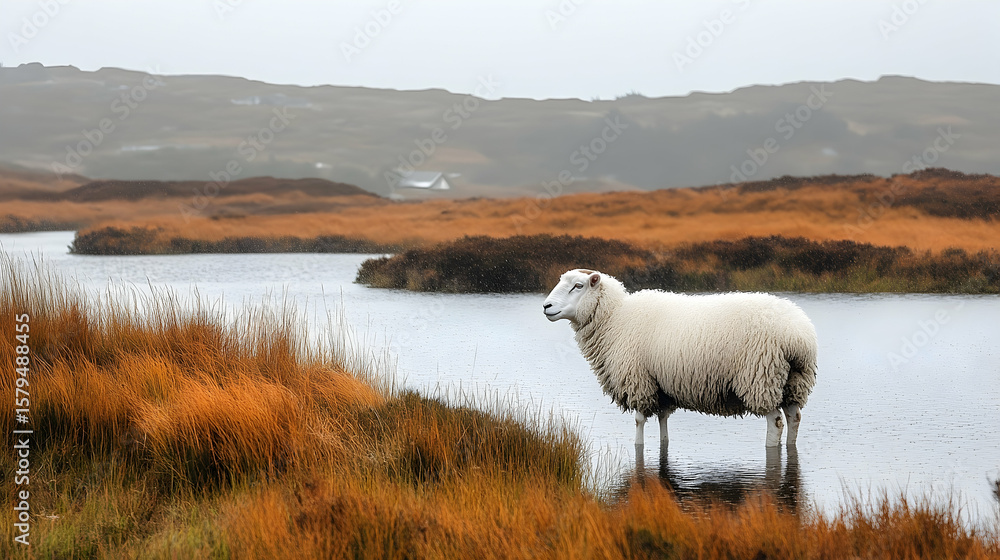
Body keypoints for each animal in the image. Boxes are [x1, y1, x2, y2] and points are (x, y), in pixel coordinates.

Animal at [543, 269, 817, 448]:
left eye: (578, 286)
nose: (546, 306)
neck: (615, 318)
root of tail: (798, 336)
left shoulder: (639, 379)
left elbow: (639, 420)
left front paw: (638, 446)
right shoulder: (661, 386)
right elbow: (663, 420)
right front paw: (663, 442)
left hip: (761, 377)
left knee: (776, 422)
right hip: (794, 382)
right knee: (794, 417)